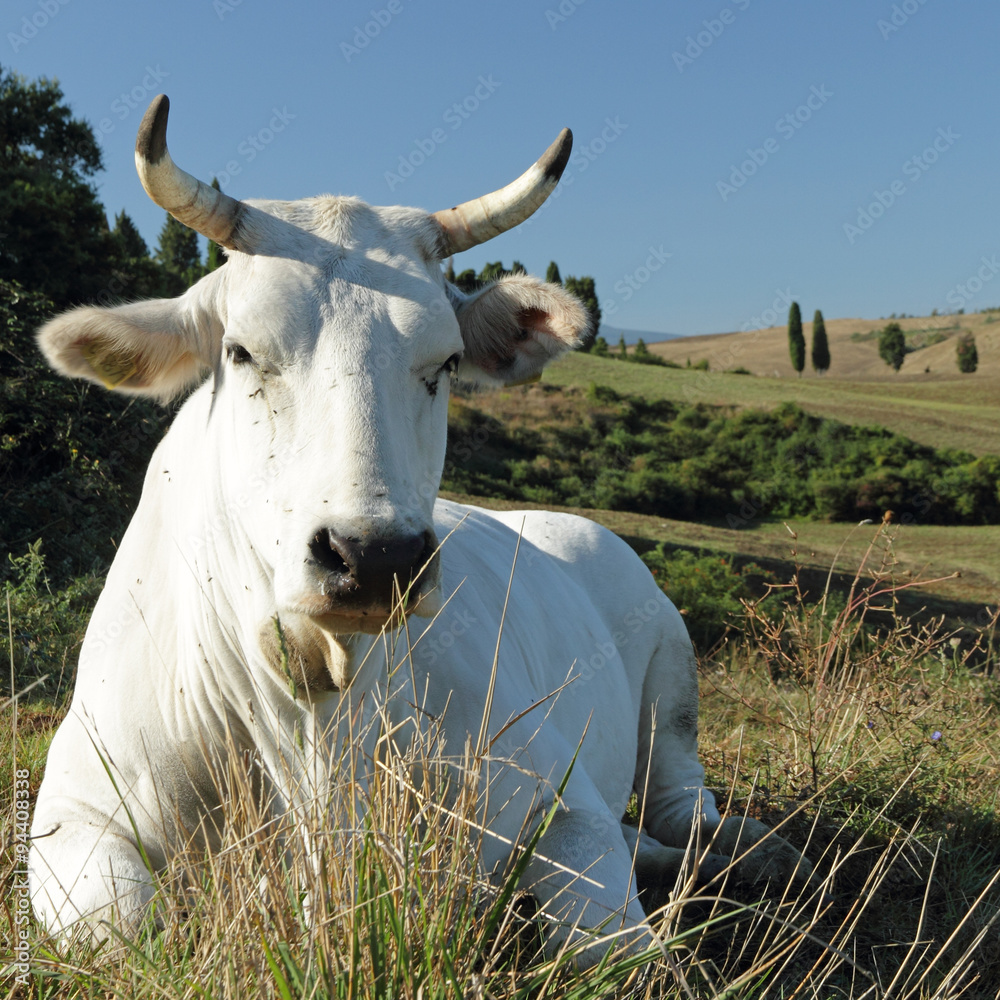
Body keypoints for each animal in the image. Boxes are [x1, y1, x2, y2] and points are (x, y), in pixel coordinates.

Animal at [29, 95, 811, 965]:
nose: (375, 557)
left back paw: (751, 849)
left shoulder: (556, 797)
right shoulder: (72, 819)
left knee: (682, 801)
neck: (313, 704)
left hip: (672, 671)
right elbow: (126, 932)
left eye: (445, 363)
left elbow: (609, 945)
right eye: (240, 351)